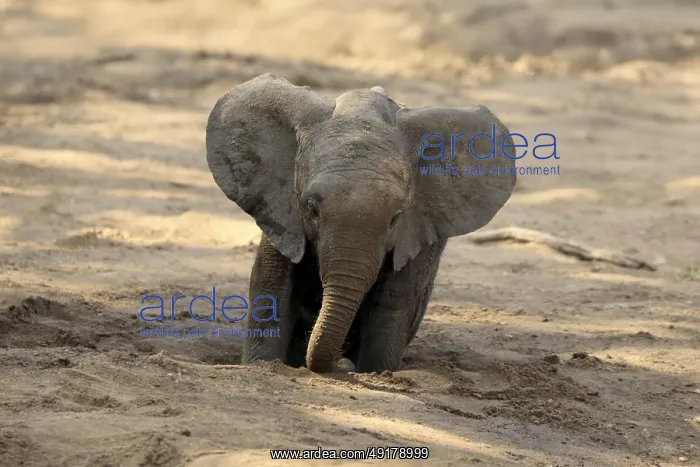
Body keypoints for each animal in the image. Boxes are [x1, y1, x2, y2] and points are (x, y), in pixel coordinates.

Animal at [205, 73, 517, 374]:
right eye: (311, 208)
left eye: (395, 218)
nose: (339, 365)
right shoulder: (282, 212)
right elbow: (272, 288)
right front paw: (261, 365)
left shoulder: (422, 230)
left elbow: (393, 303)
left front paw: (375, 373)